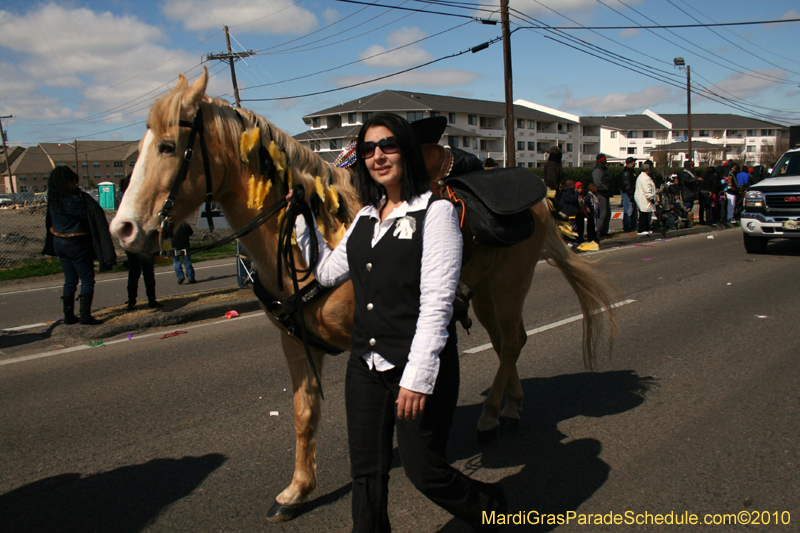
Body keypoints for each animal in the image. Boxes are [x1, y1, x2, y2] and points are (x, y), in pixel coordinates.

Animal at [109, 66, 616, 520]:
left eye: (169, 146)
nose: (123, 230)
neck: (321, 234)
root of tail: (539, 196)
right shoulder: (295, 343)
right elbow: (304, 413)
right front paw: (297, 490)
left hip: (510, 285)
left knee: (510, 344)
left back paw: (492, 417)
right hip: (491, 292)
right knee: (512, 343)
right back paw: (510, 409)